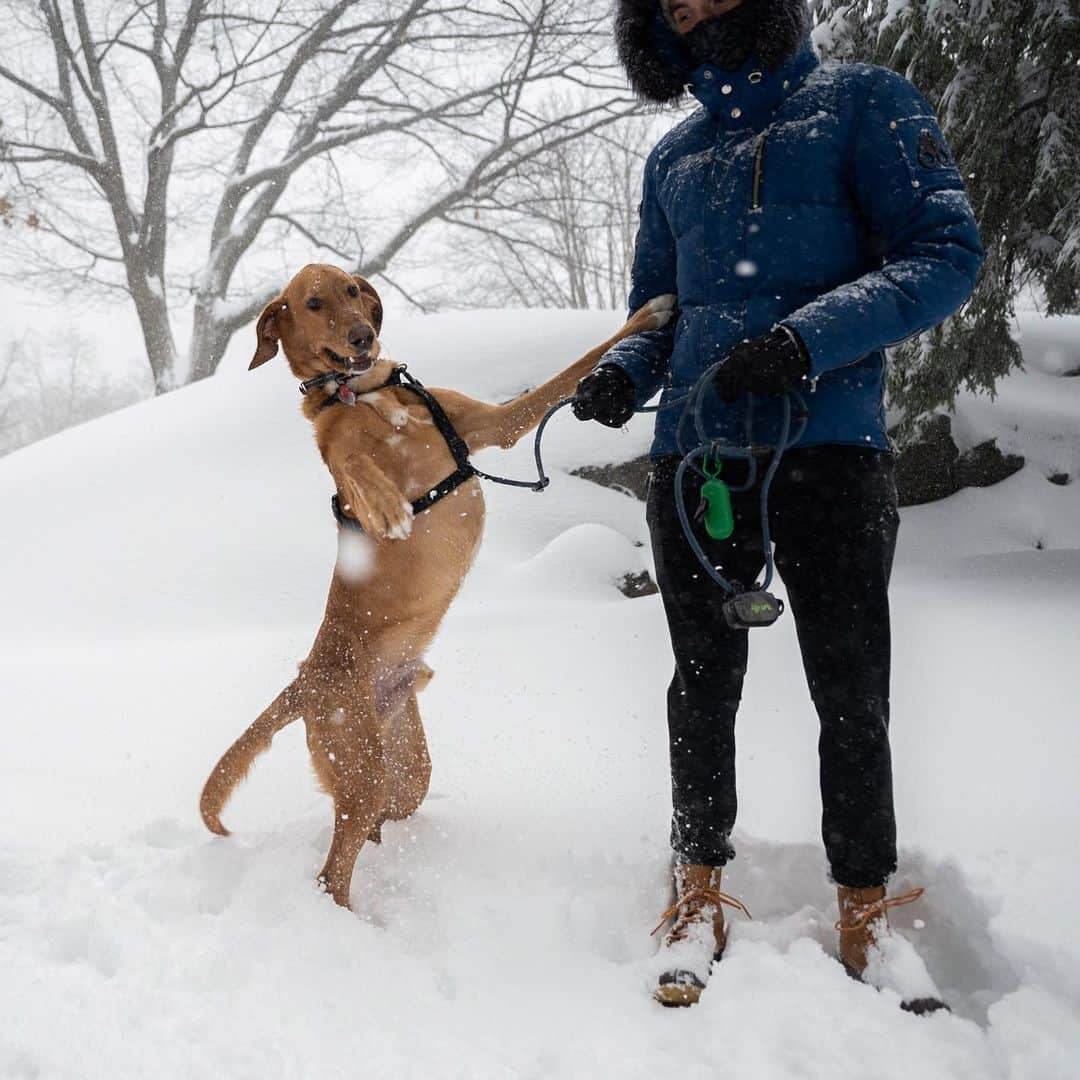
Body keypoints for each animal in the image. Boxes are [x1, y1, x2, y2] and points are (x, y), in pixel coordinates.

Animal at [198, 265, 669, 907]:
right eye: (314, 303)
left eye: (352, 291)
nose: (363, 336)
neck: (366, 392)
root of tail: (306, 679)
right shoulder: (347, 470)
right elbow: (352, 465)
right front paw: (386, 502)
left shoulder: (495, 423)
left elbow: (571, 371)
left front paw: (646, 317)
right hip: (362, 767)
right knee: (332, 872)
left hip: (403, 769)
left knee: (373, 826)